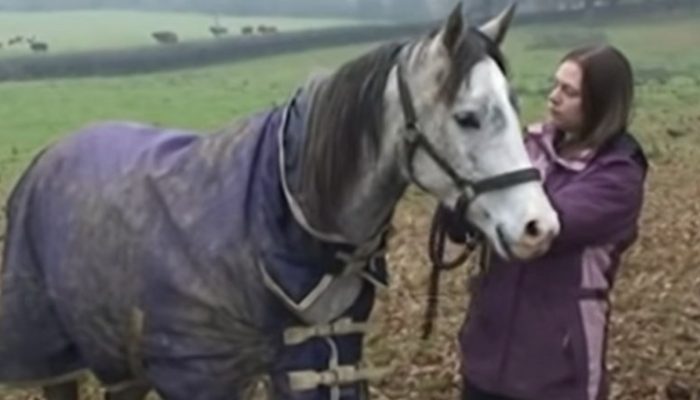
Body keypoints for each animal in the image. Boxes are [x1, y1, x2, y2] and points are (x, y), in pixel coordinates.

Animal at [0, 3, 559, 400]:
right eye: (467, 116)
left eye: (515, 105)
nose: (540, 227)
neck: (290, 211)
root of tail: (49, 154)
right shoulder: (201, 374)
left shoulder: (322, 355)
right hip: (57, 358)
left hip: (119, 357)